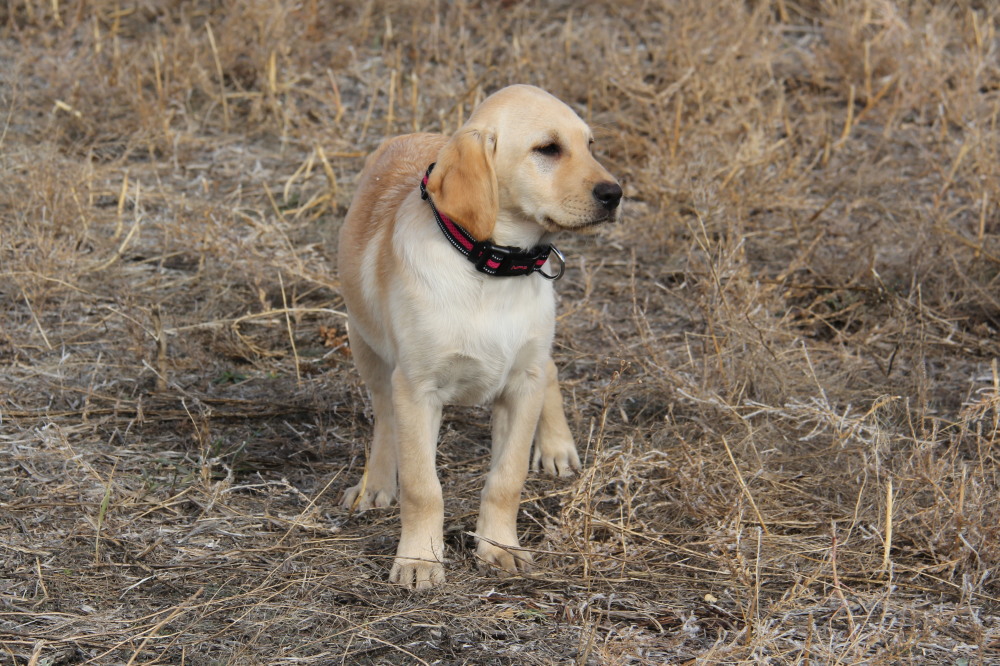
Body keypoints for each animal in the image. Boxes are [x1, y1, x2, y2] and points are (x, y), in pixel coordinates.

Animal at [340, 84, 620, 588]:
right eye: (547, 149)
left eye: (590, 145)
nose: (616, 194)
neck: (493, 267)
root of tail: (411, 135)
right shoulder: (417, 389)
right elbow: (422, 486)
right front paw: (420, 559)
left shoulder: (522, 386)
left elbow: (506, 479)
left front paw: (499, 547)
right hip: (365, 343)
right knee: (385, 415)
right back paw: (376, 483)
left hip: (534, 345)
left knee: (550, 366)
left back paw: (556, 445)